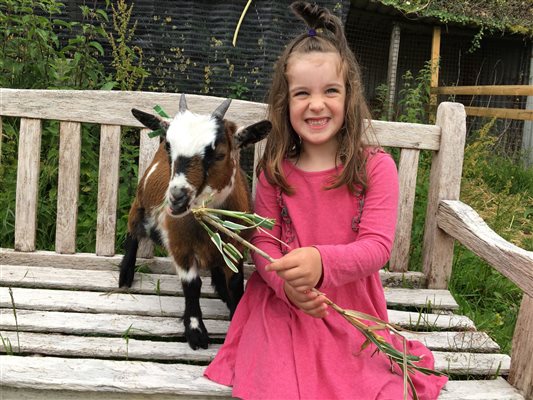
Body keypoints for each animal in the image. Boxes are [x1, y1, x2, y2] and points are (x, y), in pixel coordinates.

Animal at [120, 95, 270, 348]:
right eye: (169, 147)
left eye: (219, 154)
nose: (177, 197)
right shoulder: (180, 247)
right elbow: (192, 286)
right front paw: (195, 331)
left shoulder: (236, 248)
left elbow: (235, 281)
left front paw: (234, 311)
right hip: (139, 205)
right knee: (132, 233)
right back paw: (125, 275)